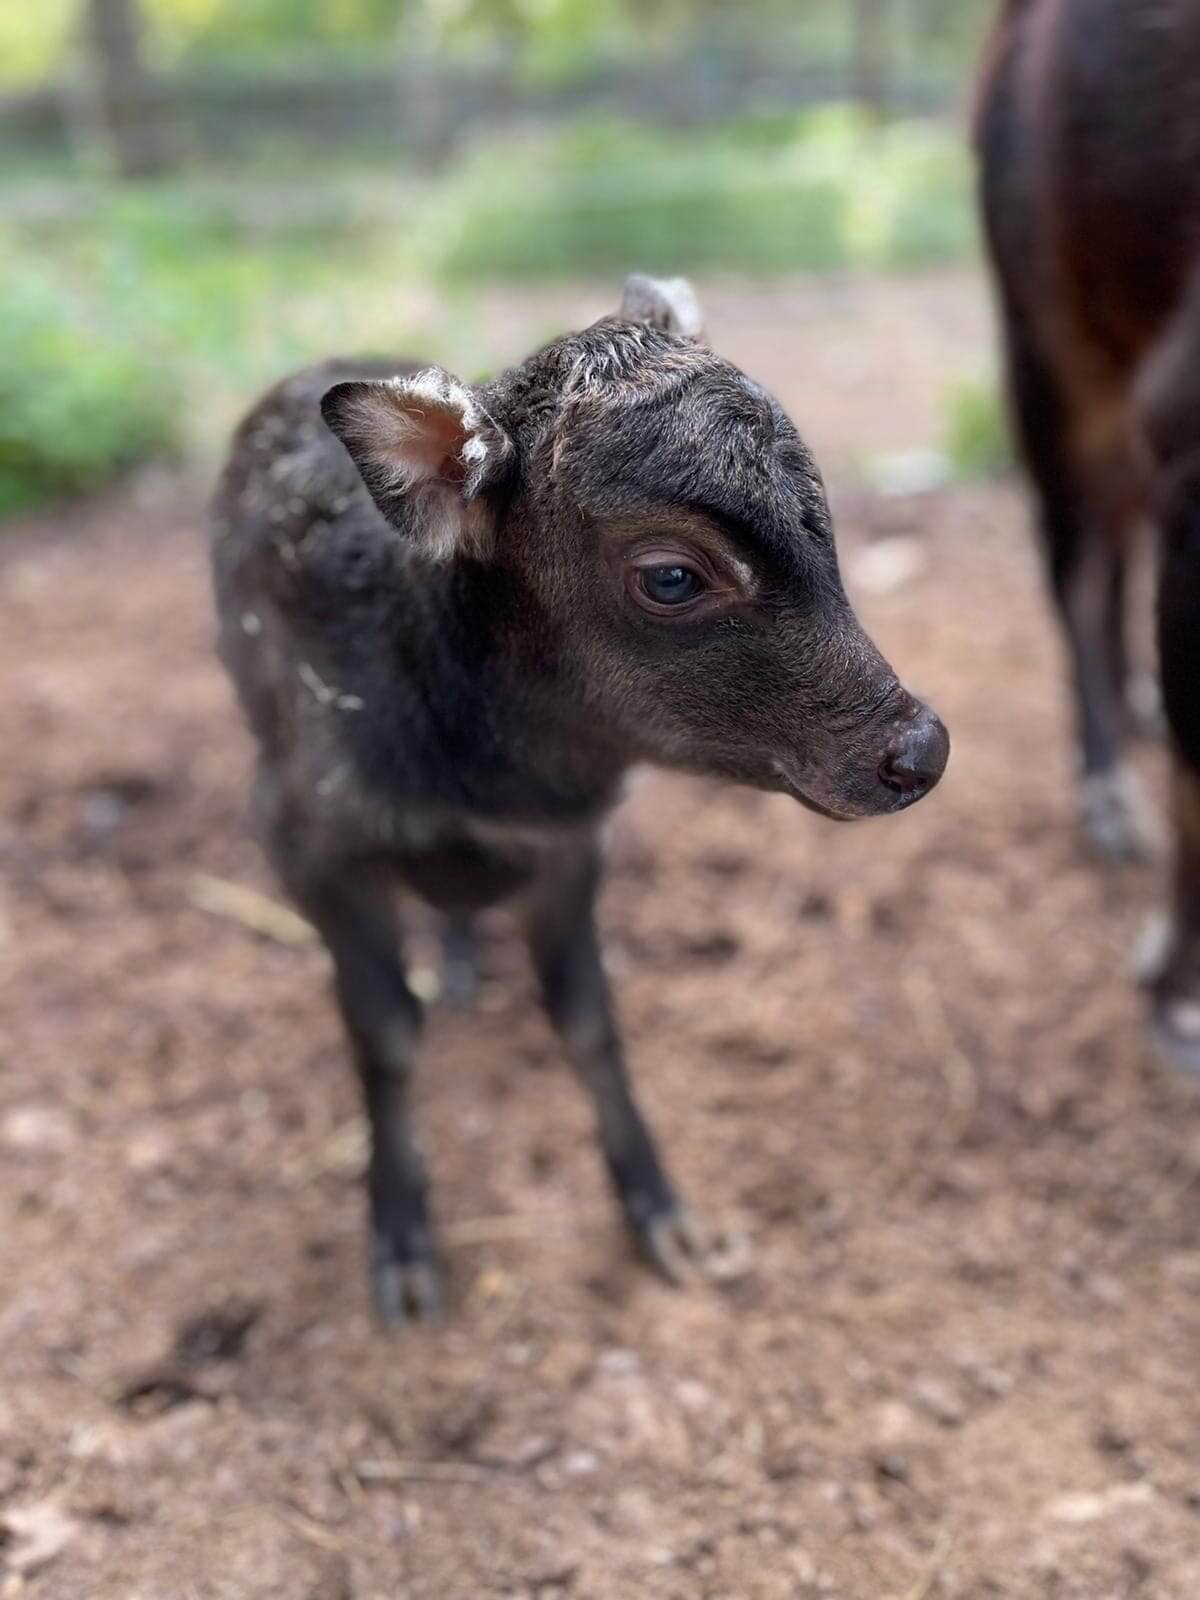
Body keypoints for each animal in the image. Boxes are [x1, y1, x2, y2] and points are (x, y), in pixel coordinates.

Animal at [214, 278, 947, 1324]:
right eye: (672, 575)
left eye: (825, 523)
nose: (921, 749)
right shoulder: (300, 836)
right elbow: (385, 1033)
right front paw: (401, 1252)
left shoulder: (571, 844)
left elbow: (589, 1019)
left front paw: (667, 1219)